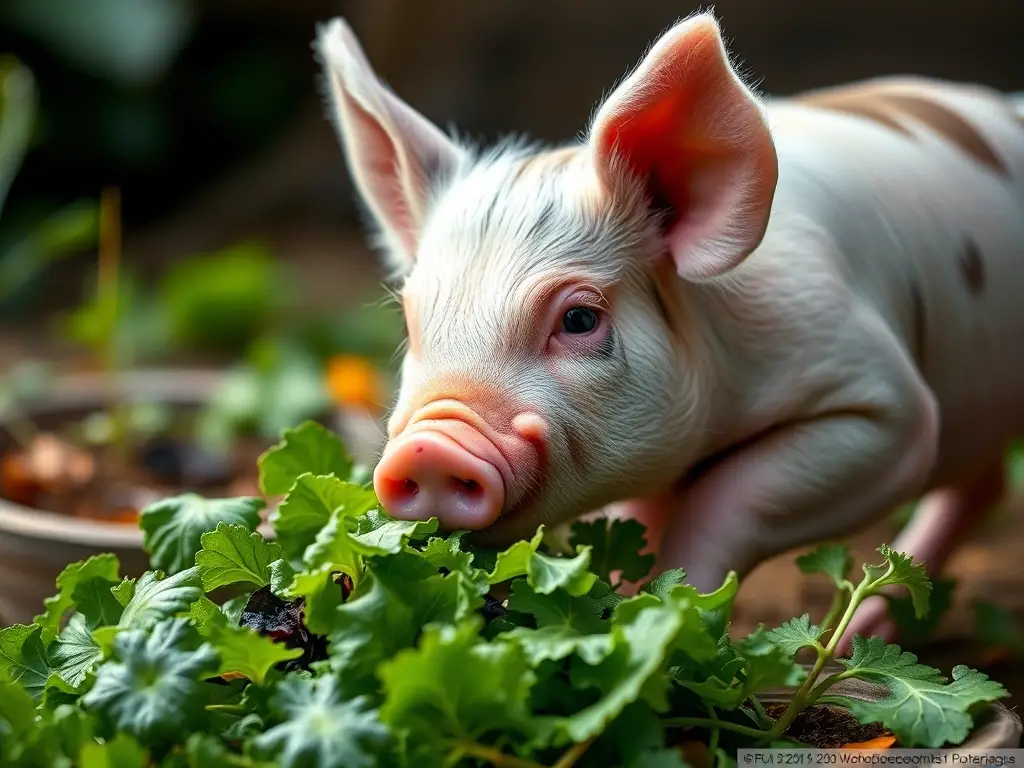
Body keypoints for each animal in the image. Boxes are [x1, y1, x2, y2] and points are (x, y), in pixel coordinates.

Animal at [314, 12, 1024, 648]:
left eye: (579, 318)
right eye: (412, 321)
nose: (428, 446)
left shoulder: (882, 405)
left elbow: (730, 498)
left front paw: (671, 609)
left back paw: (852, 641)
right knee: (984, 486)